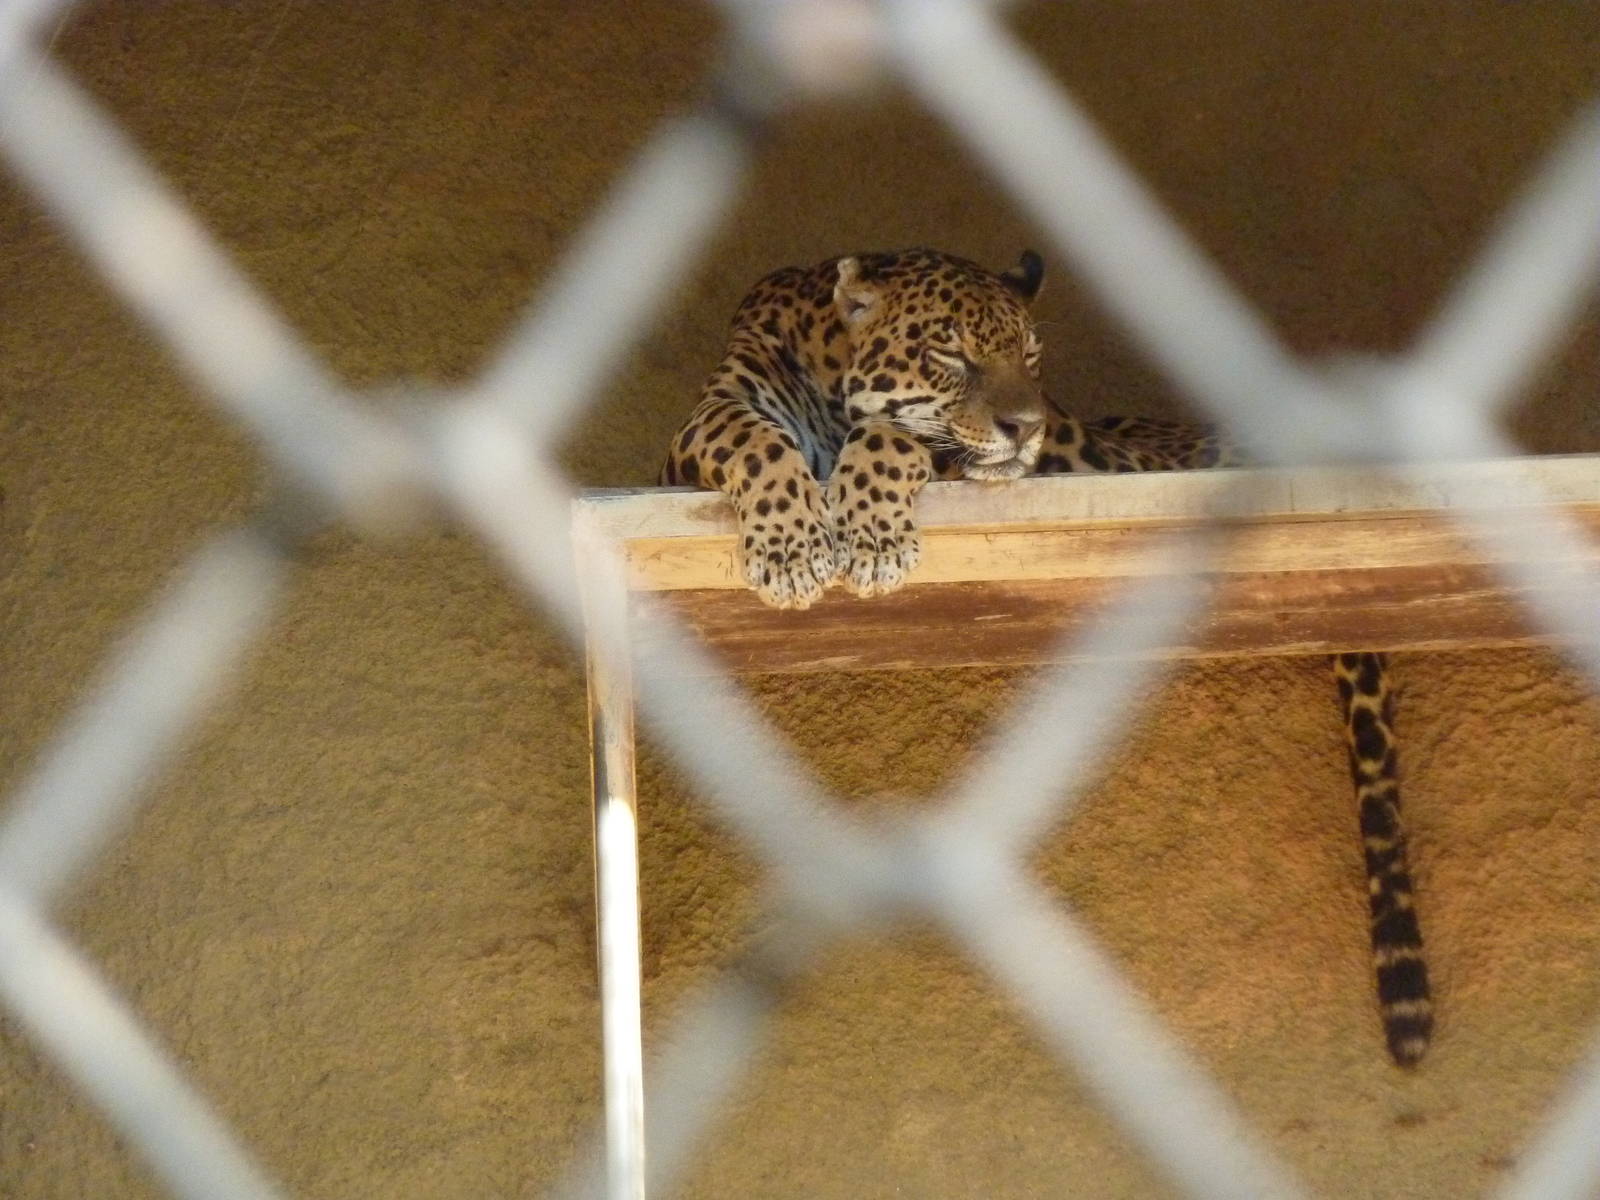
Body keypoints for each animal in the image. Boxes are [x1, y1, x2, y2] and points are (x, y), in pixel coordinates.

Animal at [661, 249, 1431, 1067]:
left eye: (1030, 355)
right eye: (950, 352)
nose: (1024, 426)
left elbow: (897, 436)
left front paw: (869, 534)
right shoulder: (701, 424)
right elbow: (753, 439)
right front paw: (792, 549)